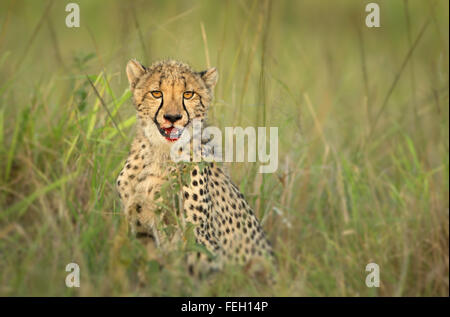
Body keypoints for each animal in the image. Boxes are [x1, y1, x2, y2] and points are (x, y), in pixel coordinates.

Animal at [117, 58, 274, 276]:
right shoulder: (141, 230)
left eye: (188, 94)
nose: (172, 117)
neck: (161, 154)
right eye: (156, 93)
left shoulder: (200, 240)